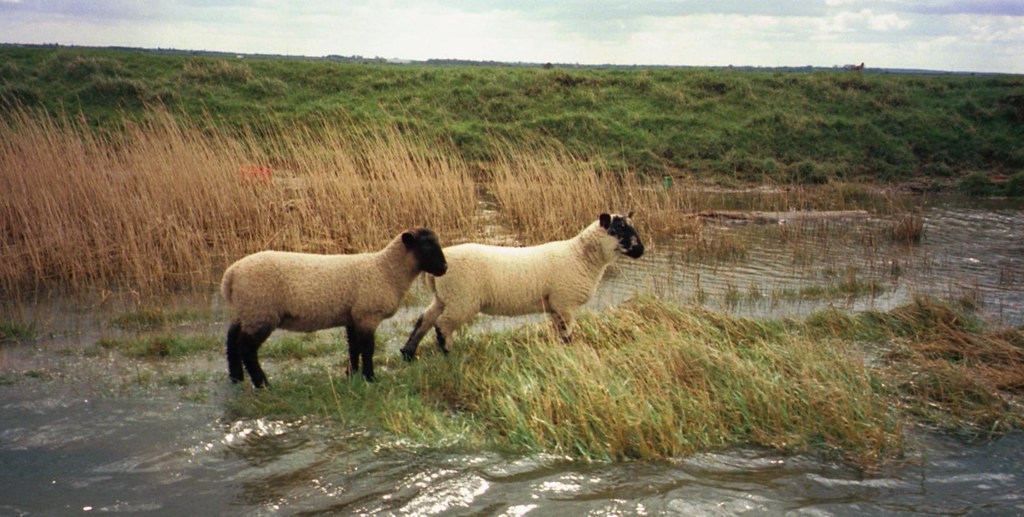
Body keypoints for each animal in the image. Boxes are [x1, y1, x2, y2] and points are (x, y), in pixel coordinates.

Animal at [221, 228, 447, 387]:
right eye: (427, 246)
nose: (444, 268)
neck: (386, 270)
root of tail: (231, 274)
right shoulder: (368, 315)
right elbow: (367, 349)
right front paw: (370, 377)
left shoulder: (353, 316)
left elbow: (353, 347)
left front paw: (352, 374)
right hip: (261, 312)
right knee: (246, 347)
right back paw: (262, 383)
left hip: (246, 311)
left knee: (232, 338)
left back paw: (236, 377)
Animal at [400, 213, 644, 360]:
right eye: (619, 229)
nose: (641, 250)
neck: (581, 256)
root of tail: (438, 267)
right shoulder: (564, 302)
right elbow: (566, 333)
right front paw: (569, 351)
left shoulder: (554, 305)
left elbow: (559, 331)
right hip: (462, 299)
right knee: (442, 325)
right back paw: (447, 352)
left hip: (445, 297)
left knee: (424, 320)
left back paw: (408, 353)